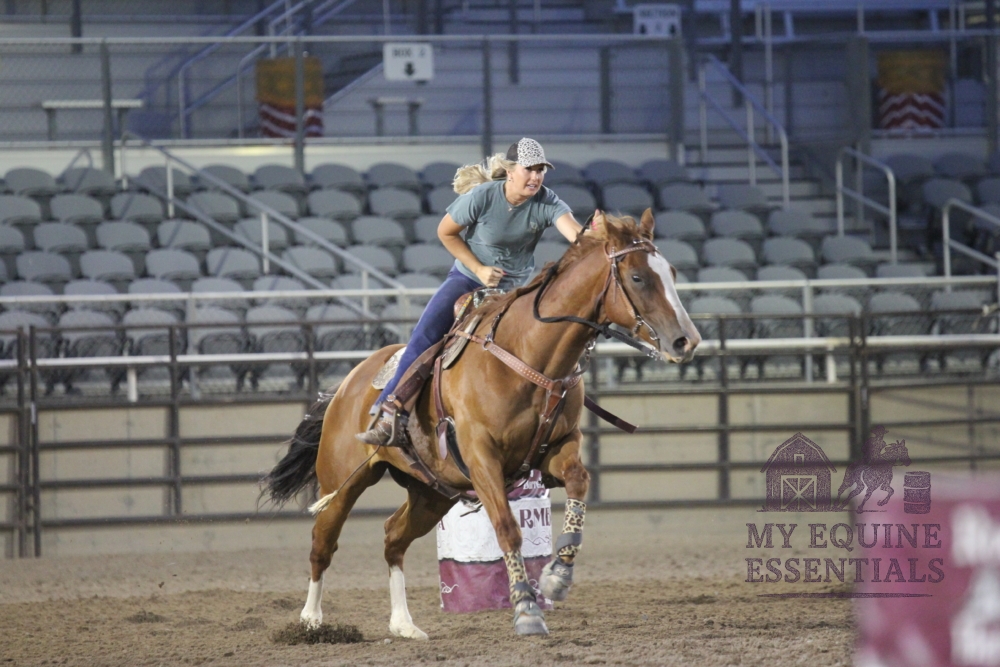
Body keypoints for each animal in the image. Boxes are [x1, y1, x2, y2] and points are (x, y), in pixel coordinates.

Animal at [262, 209, 701, 638]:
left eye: (672, 272)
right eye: (638, 277)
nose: (687, 341)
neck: (527, 353)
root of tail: (344, 386)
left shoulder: (558, 448)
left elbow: (578, 482)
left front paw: (557, 576)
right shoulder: (482, 458)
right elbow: (507, 527)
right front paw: (526, 611)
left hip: (431, 493)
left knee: (393, 538)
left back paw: (403, 623)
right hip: (341, 482)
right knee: (323, 542)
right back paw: (311, 621)